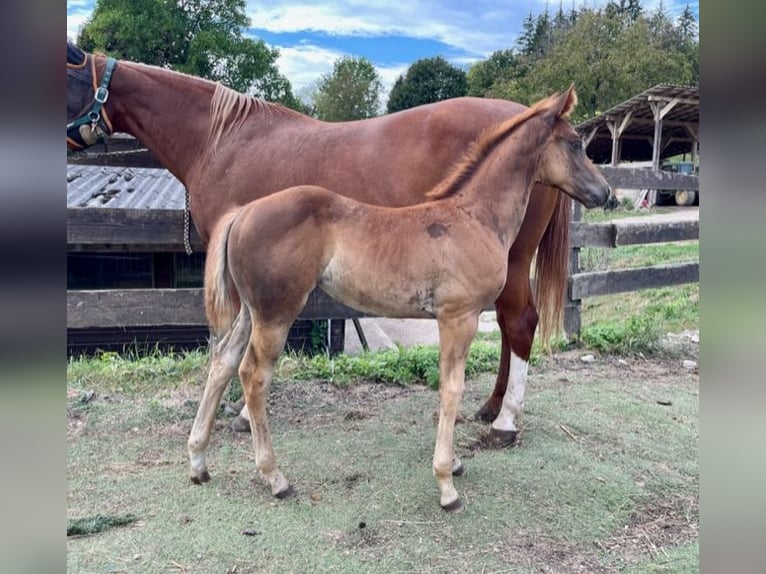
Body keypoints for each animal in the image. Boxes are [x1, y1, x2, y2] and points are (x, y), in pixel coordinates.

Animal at [67, 41, 593, 452]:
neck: (223, 139)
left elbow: (235, 345)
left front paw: (241, 414)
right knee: (508, 326)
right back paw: (491, 406)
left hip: (512, 261)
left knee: (519, 323)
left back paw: (505, 420)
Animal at [200, 87, 610, 511]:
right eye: (576, 143)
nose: (606, 193)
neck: (474, 216)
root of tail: (243, 211)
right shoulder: (458, 317)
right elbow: (452, 388)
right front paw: (446, 482)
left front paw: (454, 463)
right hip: (275, 313)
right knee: (252, 374)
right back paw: (275, 477)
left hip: (251, 312)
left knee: (222, 361)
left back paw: (198, 462)